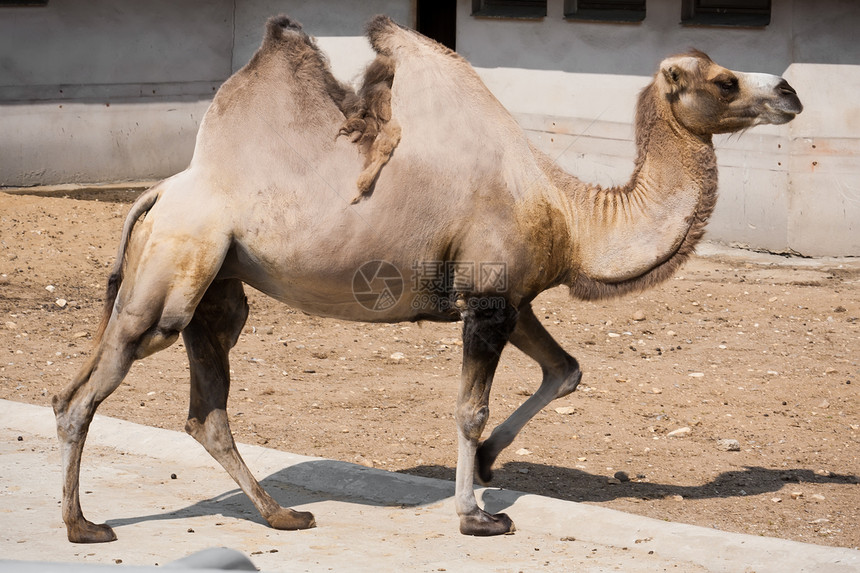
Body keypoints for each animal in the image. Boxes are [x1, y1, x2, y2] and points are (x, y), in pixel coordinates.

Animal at [52, 14, 800, 540]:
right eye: (724, 81)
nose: (790, 90)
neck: (571, 213)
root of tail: (159, 192)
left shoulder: (509, 297)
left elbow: (566, 371)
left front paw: (492, 464)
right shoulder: (489, 301)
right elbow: (470, 408)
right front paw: (476, 514)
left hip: (217, 289)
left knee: (202, 410)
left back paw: (282, 516)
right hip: (175, 271)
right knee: (86, 391)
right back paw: (83, 526)